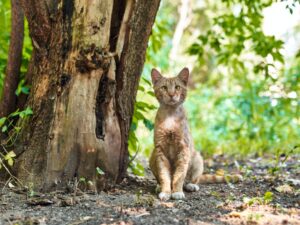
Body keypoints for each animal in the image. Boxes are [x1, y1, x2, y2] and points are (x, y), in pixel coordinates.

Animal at [149, 67, 243, 200]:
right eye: (164, 87)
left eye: (177, 87)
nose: (171, 94)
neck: (170, 117)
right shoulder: (160, 150)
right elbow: (164, 175)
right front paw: (166, 191)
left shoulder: (184, 149)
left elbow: (179, 175)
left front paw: (177, 191)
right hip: (153, 156)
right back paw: (159, 186)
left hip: (198, 158)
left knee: (194, 179)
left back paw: (191, 185)